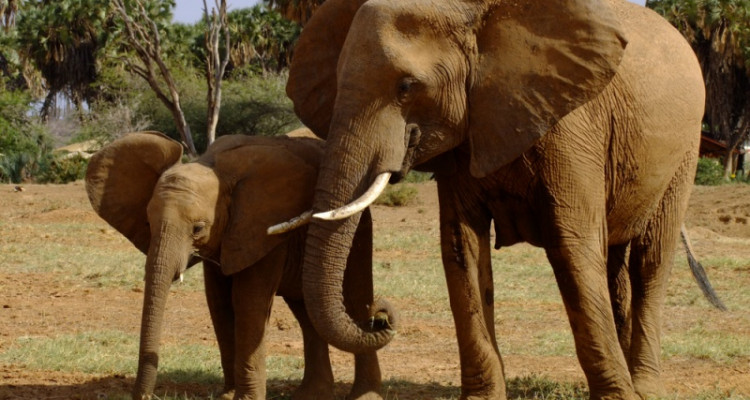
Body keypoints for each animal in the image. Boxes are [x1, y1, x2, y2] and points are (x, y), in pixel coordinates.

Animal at [86, 131, 388, 400]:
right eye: (148, 223)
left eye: (198, 228)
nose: (144, 397)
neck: (211, 164)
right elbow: (219, 303)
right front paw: (228, 395)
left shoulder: (262, 227)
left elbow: (247, 301)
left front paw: (245, 398)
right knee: (306, 312)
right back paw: (311, 395)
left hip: (357, 225)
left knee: (356, 298)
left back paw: (364, 395)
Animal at [278, 0, 712, 400]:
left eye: (406, 87)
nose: (379, 315)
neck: (470, 15)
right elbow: (461, 248)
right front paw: (484, 397)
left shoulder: (573, 124)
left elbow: (570, 246)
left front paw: (618, 398)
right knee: (615, 263)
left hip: (685, 152)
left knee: (650, 260)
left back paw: (646, 388)